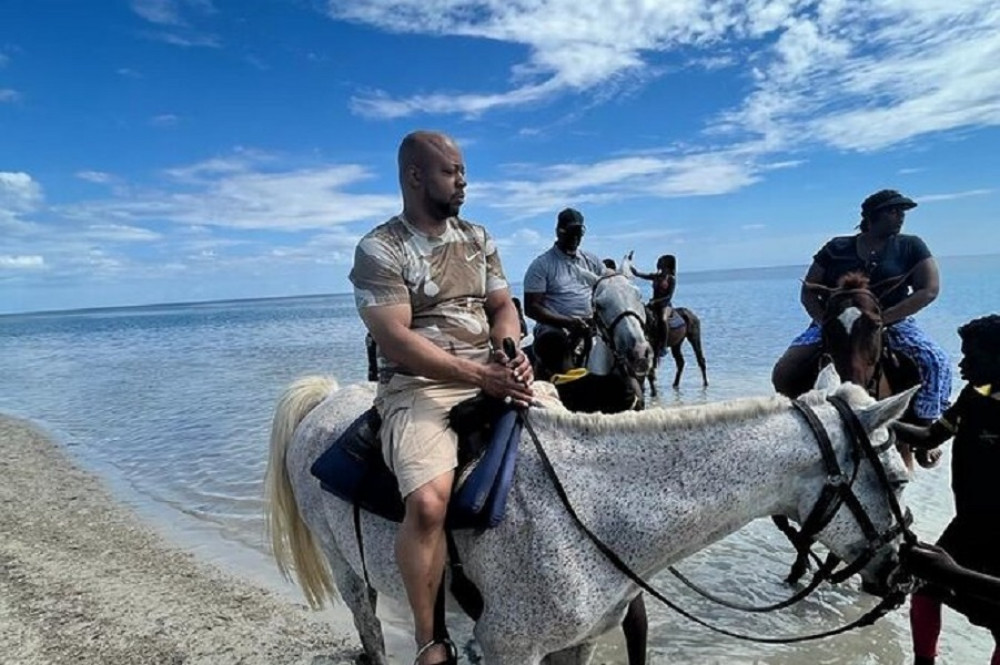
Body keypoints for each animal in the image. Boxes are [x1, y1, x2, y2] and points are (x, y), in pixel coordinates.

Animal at [264, 366, 916, 660]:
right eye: (901, 478)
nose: (901, 573)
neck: (592, 509)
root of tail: (328, 398)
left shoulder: (577, 642)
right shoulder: (509, 648)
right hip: (350, 574)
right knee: (371, 631)